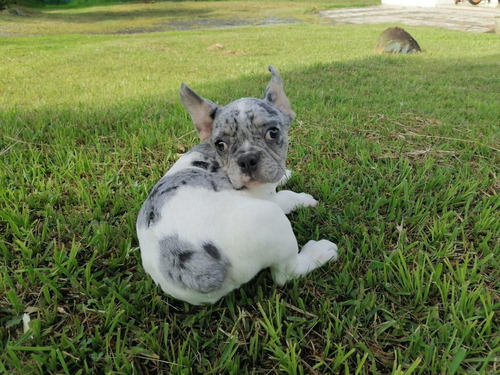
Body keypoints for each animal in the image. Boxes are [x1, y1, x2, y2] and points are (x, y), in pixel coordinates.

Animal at [135, 65, 338, 306]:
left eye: (273, 132)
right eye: (221, 145)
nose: (247, 159)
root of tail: (188, 266)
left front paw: (285, 174)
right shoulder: (266, 196)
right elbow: (286, 196)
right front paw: (302, 197)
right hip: (271, 220)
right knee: (284, 274)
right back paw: (319, 252)